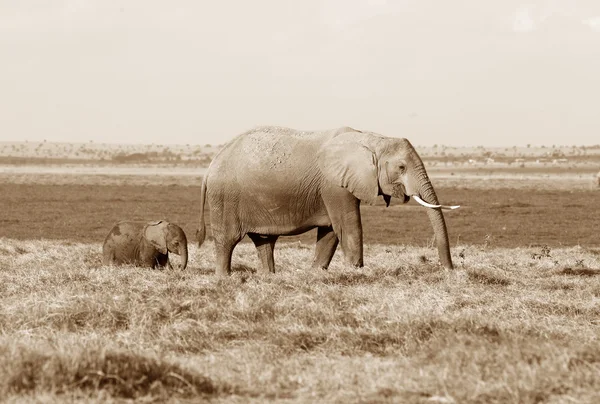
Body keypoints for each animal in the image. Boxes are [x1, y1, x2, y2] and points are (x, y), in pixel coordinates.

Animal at [197, 127, 460, 278]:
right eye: (402, 167)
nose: (450, 270)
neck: (372, 139)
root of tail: (210, 166)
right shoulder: (334, 184)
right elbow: (347, 224)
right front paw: (356, 272)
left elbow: (331, 230)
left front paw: (316, 274)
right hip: (226, 197)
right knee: (228, 239)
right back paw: (225, 279)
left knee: (264, 241)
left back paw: (269, 278)